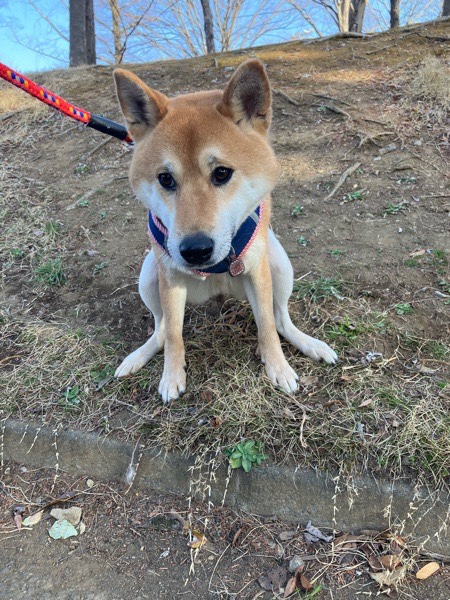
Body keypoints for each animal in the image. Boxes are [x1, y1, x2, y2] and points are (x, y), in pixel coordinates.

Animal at [113, 59, 337, 403]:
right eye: (165, 179)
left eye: (221, 173)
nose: (195, 250)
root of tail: (218, 290)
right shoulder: (170, 278)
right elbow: (175, 335)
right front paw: (172, 375)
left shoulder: (257, 270)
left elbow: (267, 325)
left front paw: (277, 367)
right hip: (150, 275)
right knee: (162, 329)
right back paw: (139, 356)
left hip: (278, 264)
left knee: (281, 319)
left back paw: (310, 344)